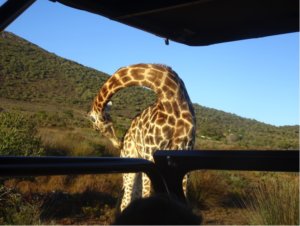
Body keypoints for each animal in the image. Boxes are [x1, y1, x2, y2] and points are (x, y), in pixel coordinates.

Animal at [88, 62, 196, 211]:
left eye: (97, 128)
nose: (118, 144)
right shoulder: (151, 151)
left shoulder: (185, 149)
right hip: (131, 164)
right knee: (126, 200)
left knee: (133, 197)